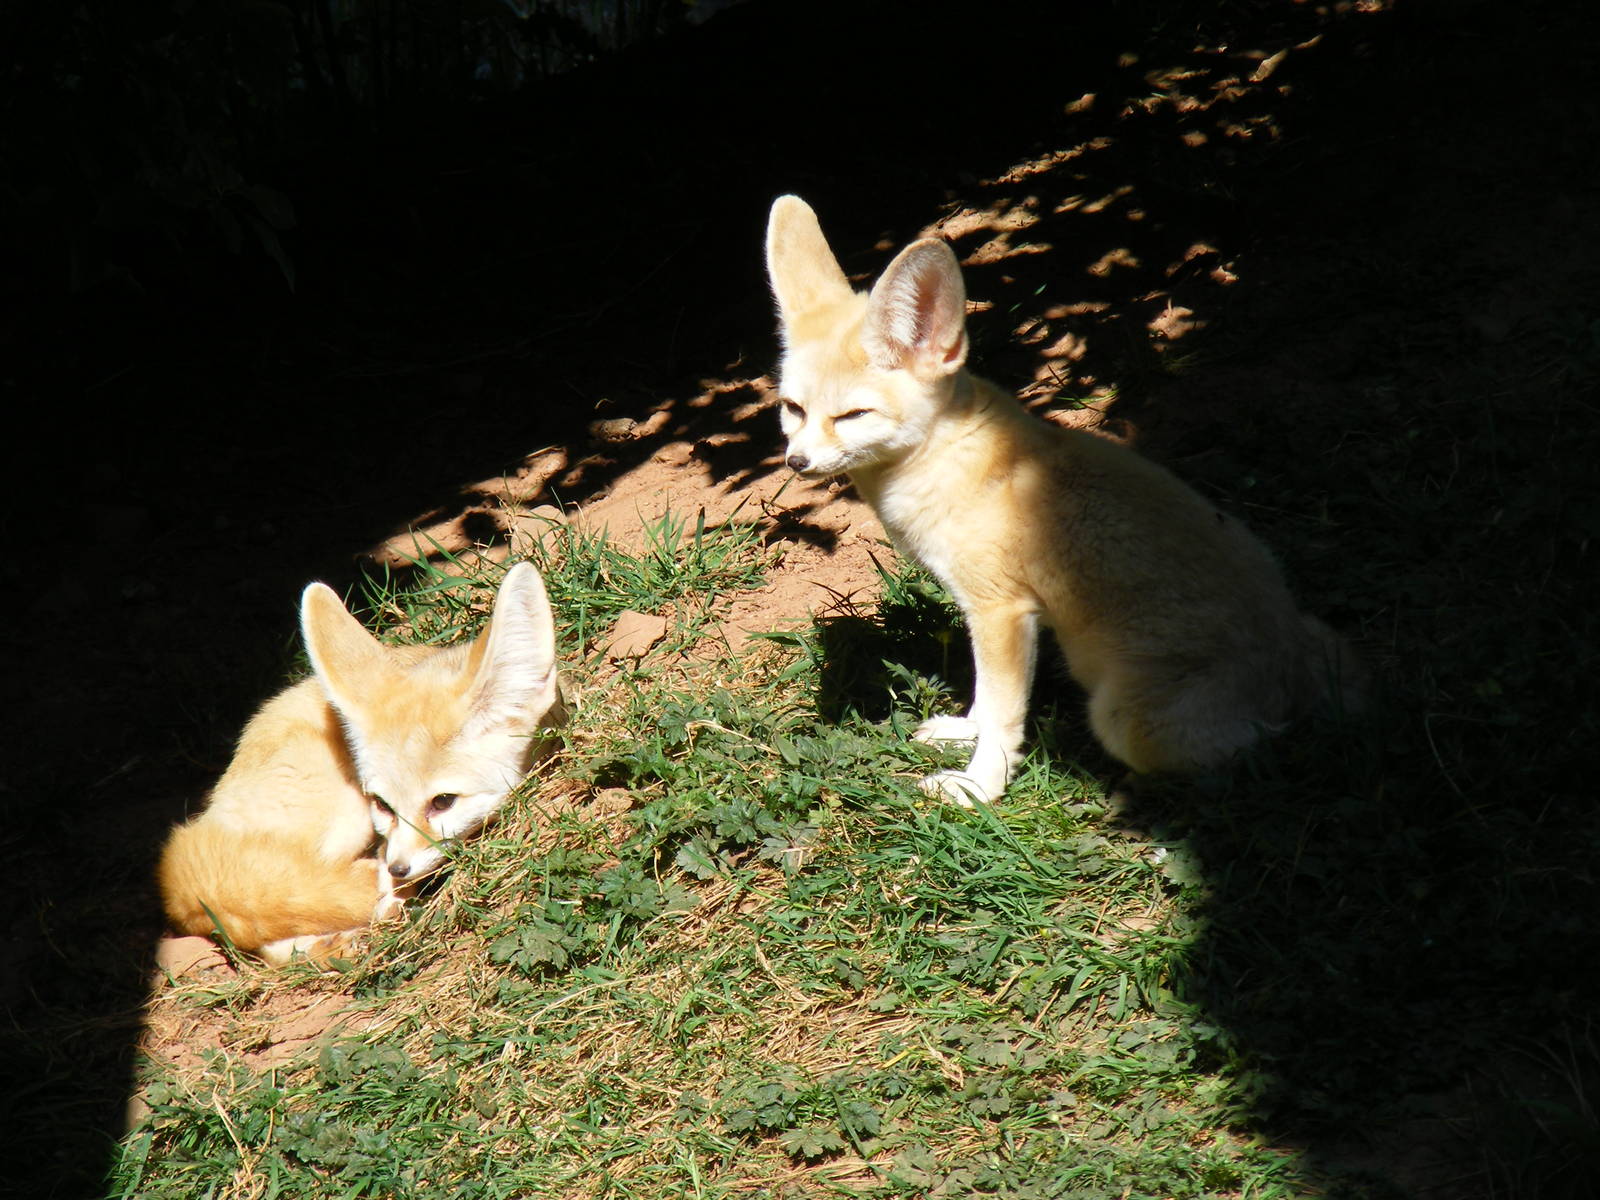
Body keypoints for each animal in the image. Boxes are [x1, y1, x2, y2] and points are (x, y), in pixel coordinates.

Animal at [765, 194, 1359, 803]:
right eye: (793, 409)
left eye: (852, 416)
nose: (796, 463)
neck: (949, 457)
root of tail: (1293, 668)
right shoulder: (990, 617)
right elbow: (985, 699)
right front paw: (963, 733)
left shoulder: (1002, 610)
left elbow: (1002, 715)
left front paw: (980, 787)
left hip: (1120, 718)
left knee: (1256, 755)